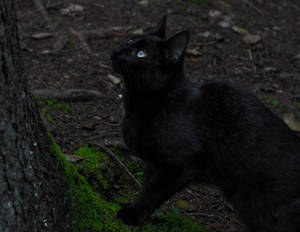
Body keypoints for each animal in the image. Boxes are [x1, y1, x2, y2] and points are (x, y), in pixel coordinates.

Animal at [111, 15, 300, 231]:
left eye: (140, 54)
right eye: (129, 40)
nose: (116, 50)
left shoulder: (178, 166)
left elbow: (152, 193)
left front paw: (132, 214)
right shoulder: (152, 164)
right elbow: (145, 186)